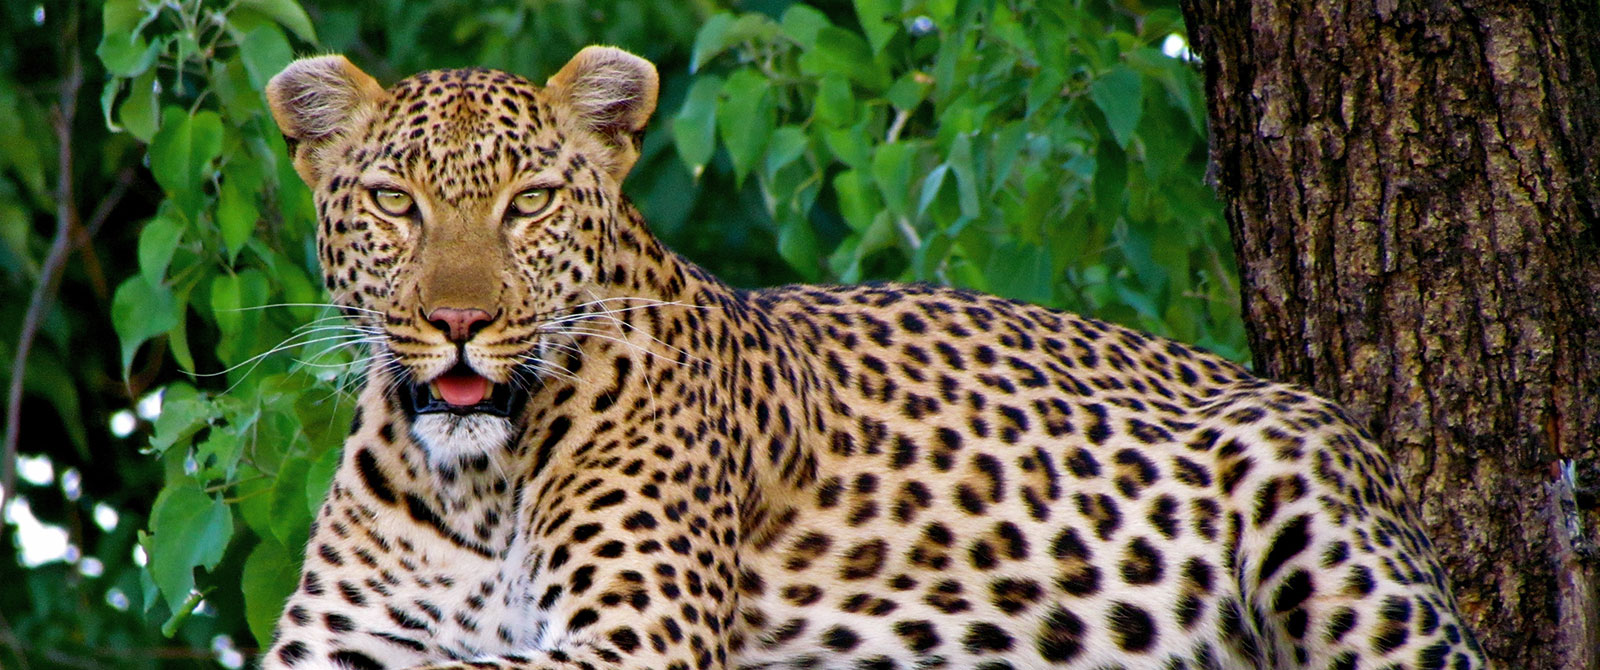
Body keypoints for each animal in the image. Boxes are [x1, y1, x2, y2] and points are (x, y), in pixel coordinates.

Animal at [256, 47, 1491, 670]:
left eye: (529, 204)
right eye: (396, 203)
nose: (460, 320)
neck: (474, 476)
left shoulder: (630, 643)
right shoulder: (336, 647)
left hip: (1328, 536)